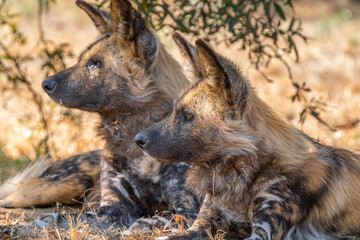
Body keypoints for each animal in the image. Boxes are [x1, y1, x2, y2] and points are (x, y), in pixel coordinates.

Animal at [40, 0, 201, 228]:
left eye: (95, 63)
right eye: (81, 60)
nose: (46, 84)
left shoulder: (187, 211)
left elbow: (150, 220)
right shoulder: (112, 205)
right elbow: (77, 217)